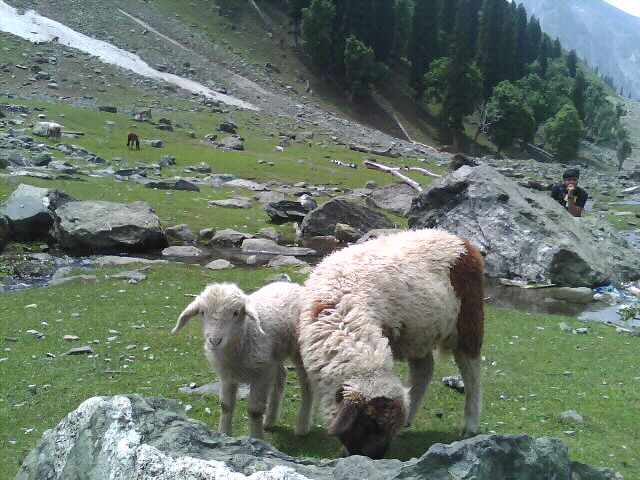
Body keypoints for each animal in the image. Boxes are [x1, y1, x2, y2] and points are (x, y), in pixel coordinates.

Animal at [172, 281, 313, 439]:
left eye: (235, 313)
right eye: (202, 312)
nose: (215, 341)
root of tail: (291, 284)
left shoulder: (261, 375)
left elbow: (254, 410)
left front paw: (256, 439)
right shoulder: (227, 375)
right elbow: (226, 405)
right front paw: (224, 434)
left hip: (299, 351)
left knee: (306, 385)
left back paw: (302, 427)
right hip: (273, 356)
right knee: (281, 375)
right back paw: (269, 420)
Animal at [298, 228, 484, 458]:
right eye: (368, 424)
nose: (375, 457)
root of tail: (460, 240)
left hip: (468, 321)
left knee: (471, 372)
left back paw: (469, 424)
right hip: (419, 333)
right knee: (424, 371)